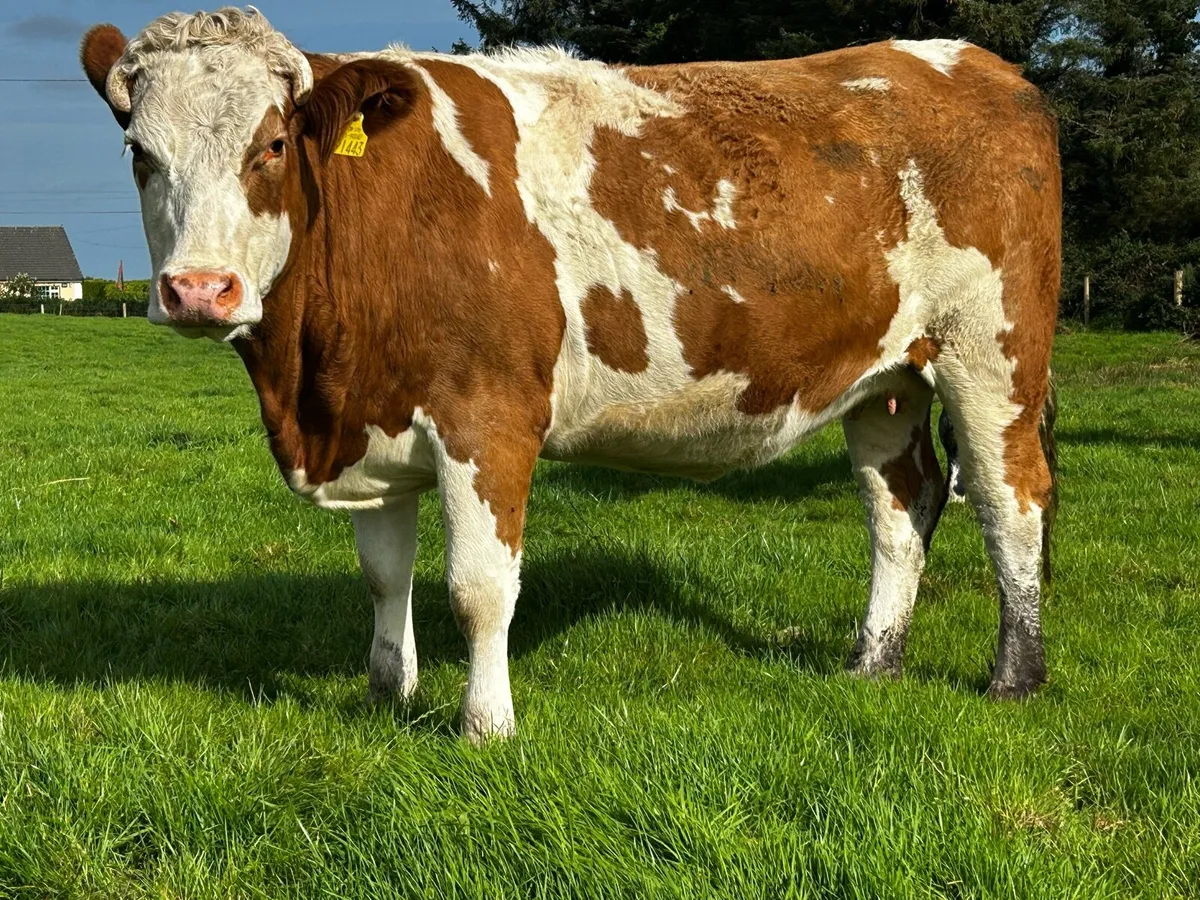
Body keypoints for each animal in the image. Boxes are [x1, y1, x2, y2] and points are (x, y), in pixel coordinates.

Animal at [81, 8, 1060, 741]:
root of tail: (977, 63)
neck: (312, 389)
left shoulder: (488, 417)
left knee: (1011, 497)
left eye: (275, 145)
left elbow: (479, 588)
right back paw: (871, 664)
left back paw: (1015, 677)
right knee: (901, 506)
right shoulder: (372, 418)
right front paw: (388, 696)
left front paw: (485, 727)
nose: (199, 289)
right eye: (139, 153)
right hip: (885, 377)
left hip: (992, 352)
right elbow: (385, 575)